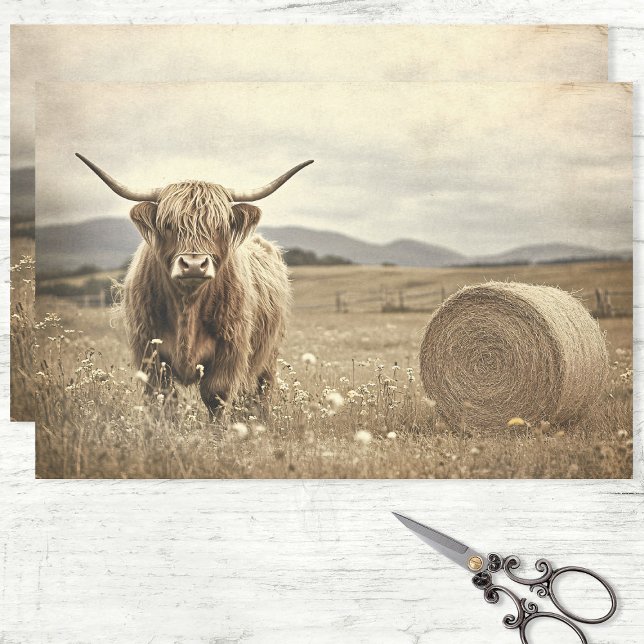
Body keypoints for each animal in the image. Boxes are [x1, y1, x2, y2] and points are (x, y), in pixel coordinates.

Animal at [76, 153, 313, 416]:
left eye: (219, 226)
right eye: (168, 225)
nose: (193, 265)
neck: (187, 305)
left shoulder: (230, 352)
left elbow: (215, 395)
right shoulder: (150, 352)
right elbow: (163, 400)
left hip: (269, 356)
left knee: (260, 391)